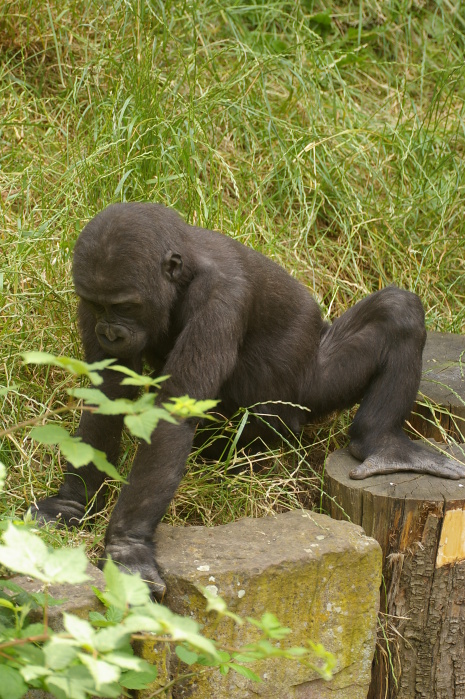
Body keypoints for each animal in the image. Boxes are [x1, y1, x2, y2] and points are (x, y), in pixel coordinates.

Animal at [32, 201, 464, 596]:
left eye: (125, 305)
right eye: (97, 304)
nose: (110, 332)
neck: (183, 272)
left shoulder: (220, 299)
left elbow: (173, 417)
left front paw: (126, 546)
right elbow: (106, 394)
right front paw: (73, 502)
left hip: (309, 390)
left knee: (397, 311)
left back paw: (380, 442)